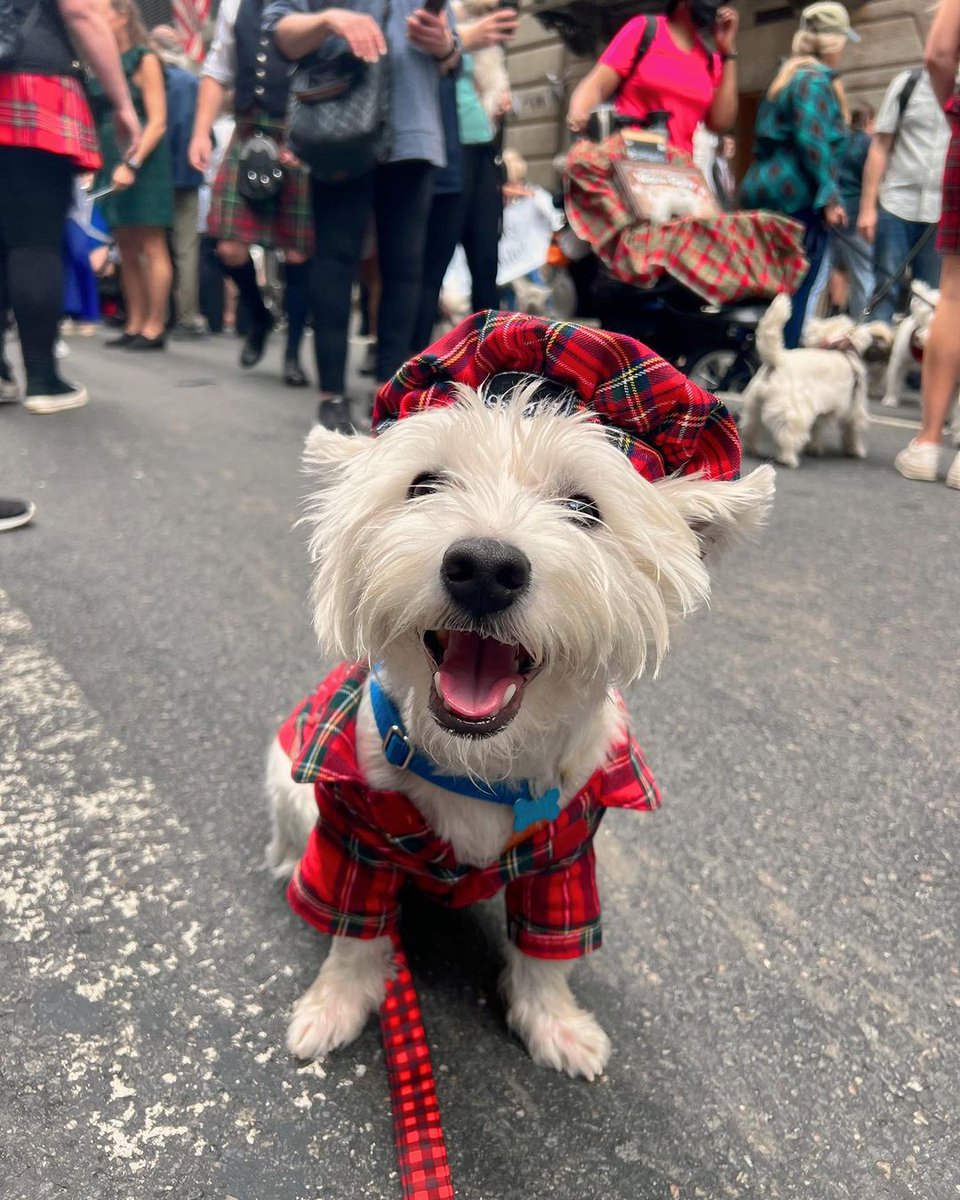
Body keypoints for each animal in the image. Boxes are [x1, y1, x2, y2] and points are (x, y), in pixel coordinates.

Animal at [266, 316, 777, 1080]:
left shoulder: (565, 855)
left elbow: (549, 947)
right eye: (424, 483)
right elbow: (355, 933)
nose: (483, 567)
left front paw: (557, 1026)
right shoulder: (355, 836)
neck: (477, 763)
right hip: (289, 784)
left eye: (584, 507)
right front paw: (333, 1008)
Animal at [739, 292, 873, 470]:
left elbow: (817, 430)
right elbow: (852, 431)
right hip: (795, 412)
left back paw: (752, 449)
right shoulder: (854, 409)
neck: (839, 349)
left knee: (750, 428)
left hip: (754, 406)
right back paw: (788, 459)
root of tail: (777, 360)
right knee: (787, 436)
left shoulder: (822, 412)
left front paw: (815, 448)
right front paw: (855, 450)